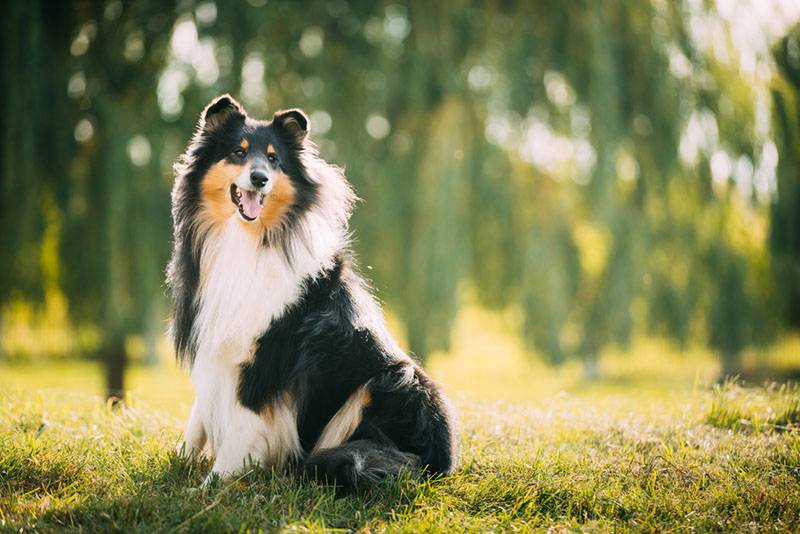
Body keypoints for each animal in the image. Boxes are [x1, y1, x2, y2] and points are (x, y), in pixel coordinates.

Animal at [164, 95, 456, 490]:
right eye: (238, 152)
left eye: (274, 159)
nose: (260, 178)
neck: (247, 240)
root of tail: (442, 464)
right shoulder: (217, 343)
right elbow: (198, 417)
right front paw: (178, 465)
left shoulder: (263, 359)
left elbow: (240, 427)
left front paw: (210, 486)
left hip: (393, 380)